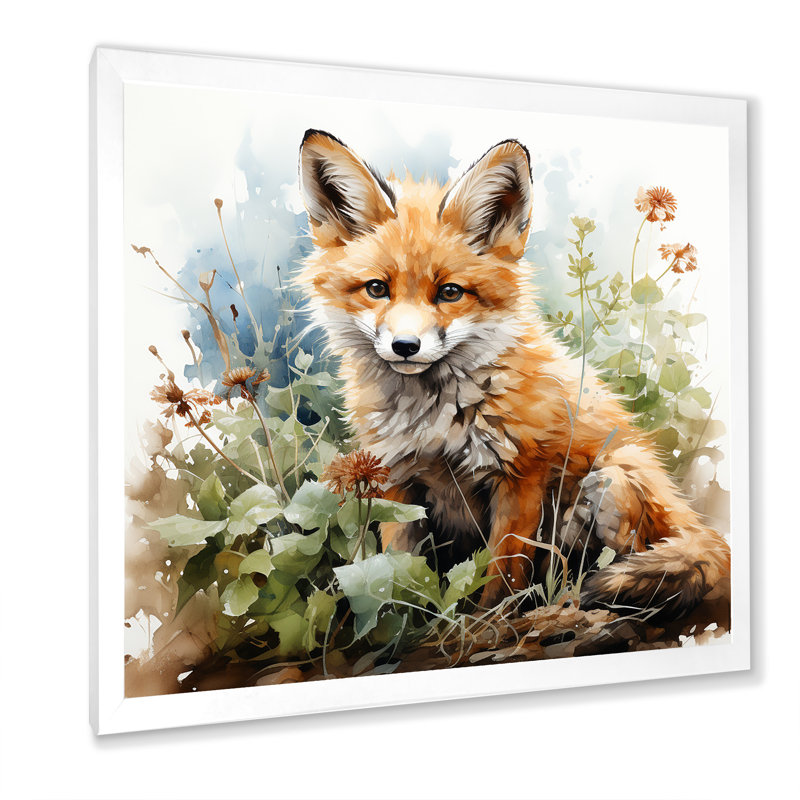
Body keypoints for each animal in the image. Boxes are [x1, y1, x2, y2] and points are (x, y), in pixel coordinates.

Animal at [297, 128, 731, 618]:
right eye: (376, 289)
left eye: (450, 292)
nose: (406, 347)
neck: (436, 420)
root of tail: (690, 515)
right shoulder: (397, 479)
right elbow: (398, 566)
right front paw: (399, 622)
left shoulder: (520, 475)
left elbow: (502, 572)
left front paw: (486, 622)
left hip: (609, 482)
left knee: (618, 558)